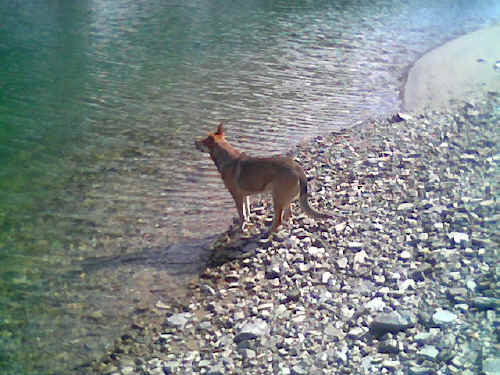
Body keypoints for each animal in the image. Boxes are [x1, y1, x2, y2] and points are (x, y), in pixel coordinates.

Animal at [195, 123, 332, 232]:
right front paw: (247, 221)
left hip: (277, 197)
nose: (194, 142)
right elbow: (247, 211)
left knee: (279, 219)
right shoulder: (245, 195)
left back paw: (268, 231)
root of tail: (298, 168)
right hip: (284, 198)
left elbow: (241, 214)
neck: (226, 158)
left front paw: (241, 228)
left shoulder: (237, 196)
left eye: (203, 141)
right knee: (288, 215)